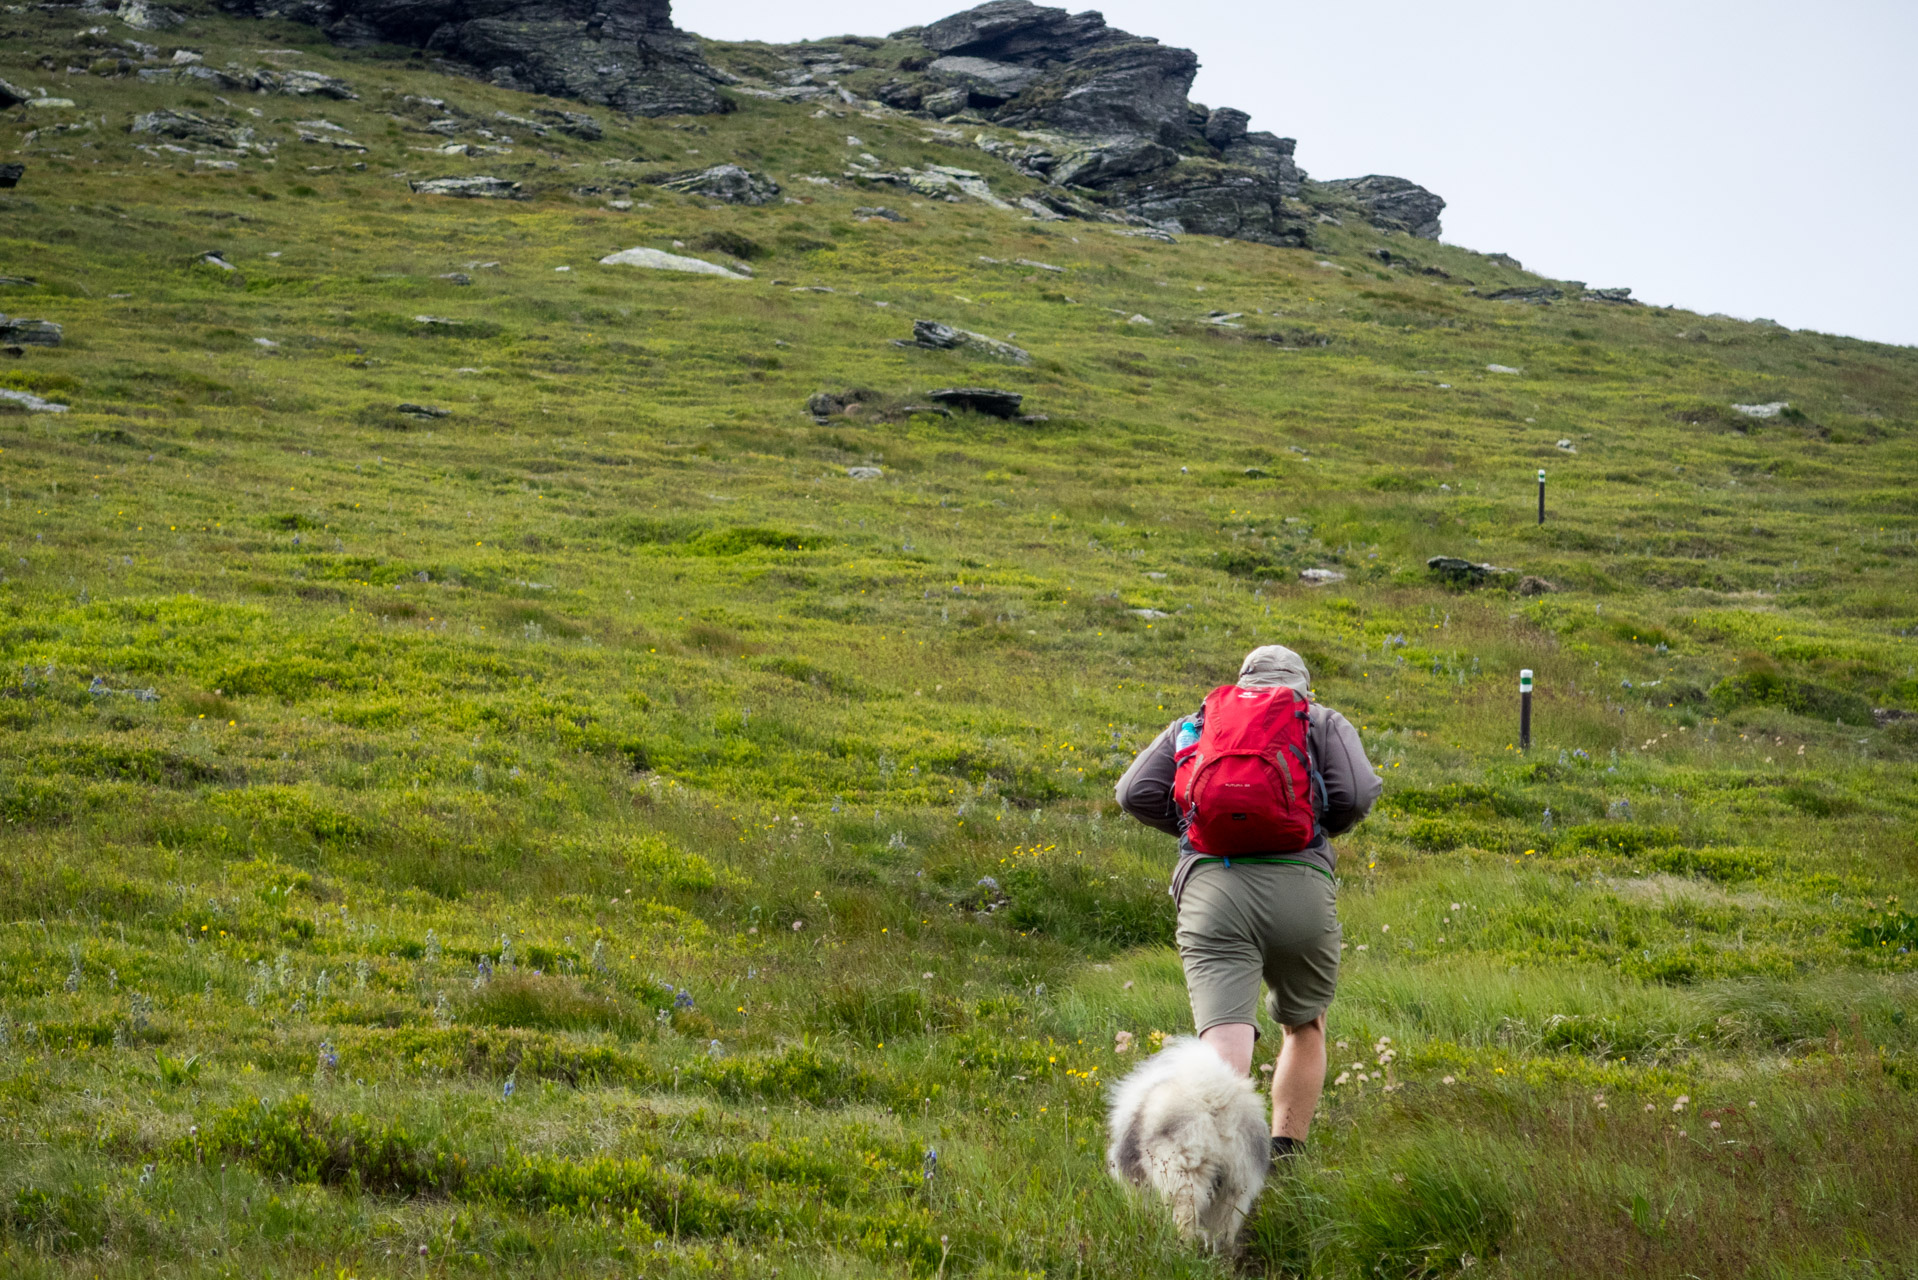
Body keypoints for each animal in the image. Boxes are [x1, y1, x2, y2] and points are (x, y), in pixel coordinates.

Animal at [1112, 1043, 1273, 1251]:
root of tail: (1213, 1100)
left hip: (1182, 1178)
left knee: (1186, 1220)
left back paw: (1181, 1249)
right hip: (1238, 1183)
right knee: (1226, 1225)